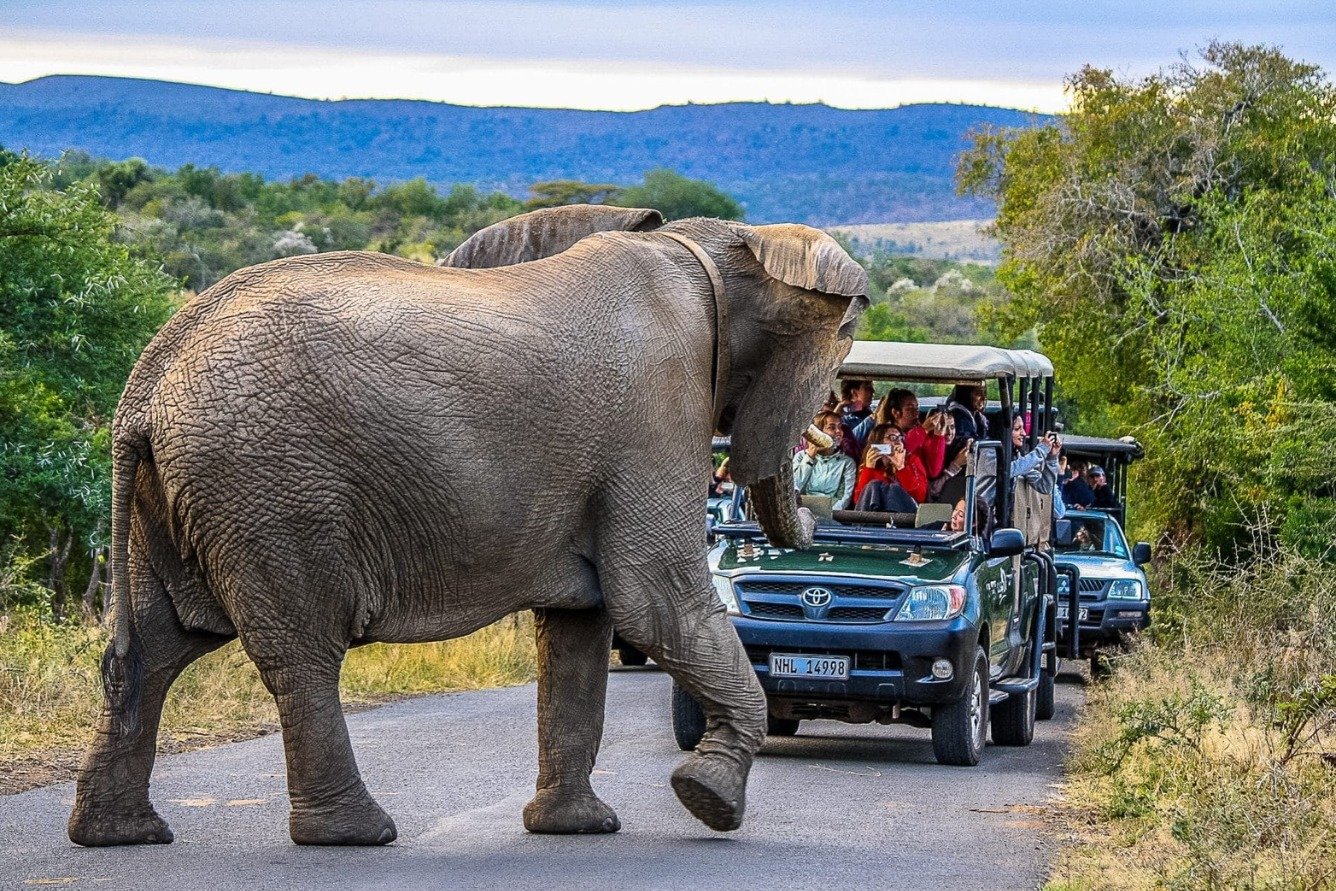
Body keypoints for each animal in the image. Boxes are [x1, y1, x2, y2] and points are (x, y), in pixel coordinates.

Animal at [70, 204, 865, 849]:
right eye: (848, 333)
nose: (829, 515)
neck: (720, 245)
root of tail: (148, 378)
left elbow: (583, 627)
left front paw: (578, 829)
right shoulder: (659, 409)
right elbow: (655, 599)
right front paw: (707, 801)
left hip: (183, 492)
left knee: (158, 646)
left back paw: (119, 835)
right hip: (269, 486)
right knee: (299, 650)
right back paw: (355, 834)